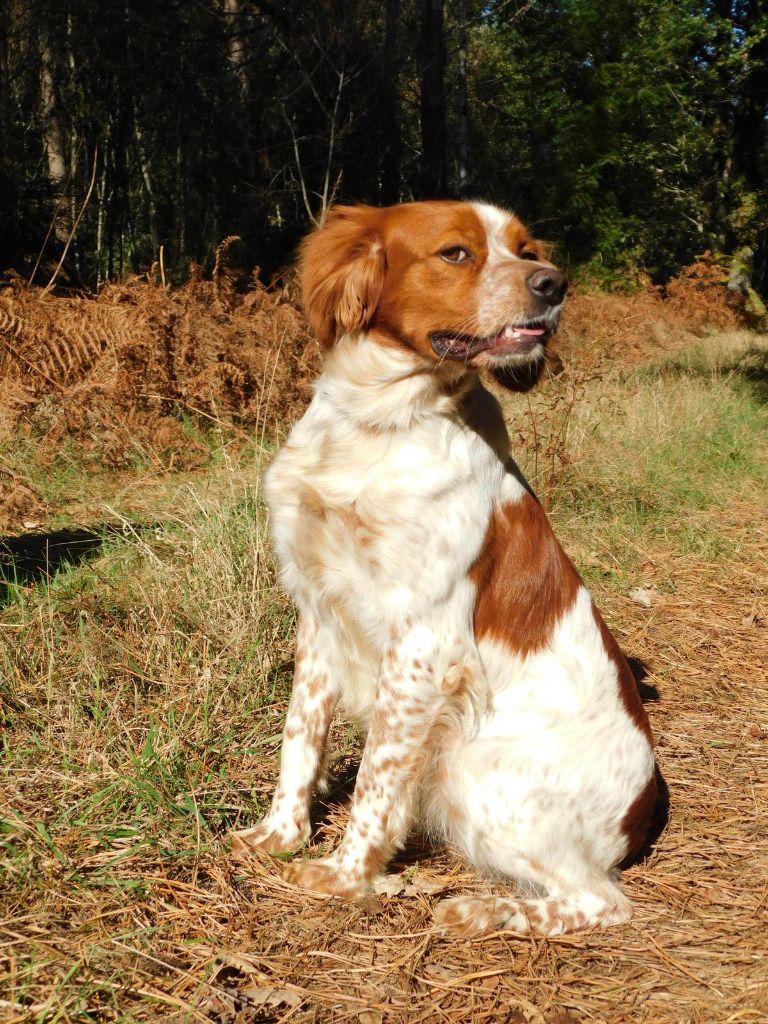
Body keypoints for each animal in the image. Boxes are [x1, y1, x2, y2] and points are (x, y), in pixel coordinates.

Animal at [234, 199, 655, 937]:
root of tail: (644, 812)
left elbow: (376, 775)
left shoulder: (422, 643)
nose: (554, 283)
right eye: (456, 252)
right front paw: (281, 834)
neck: (380, 422)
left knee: (602, 902)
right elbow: (300, 734)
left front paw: (344, 875)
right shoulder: (319, 610)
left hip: (480, 774)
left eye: (526, 249)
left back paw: (480, 910)